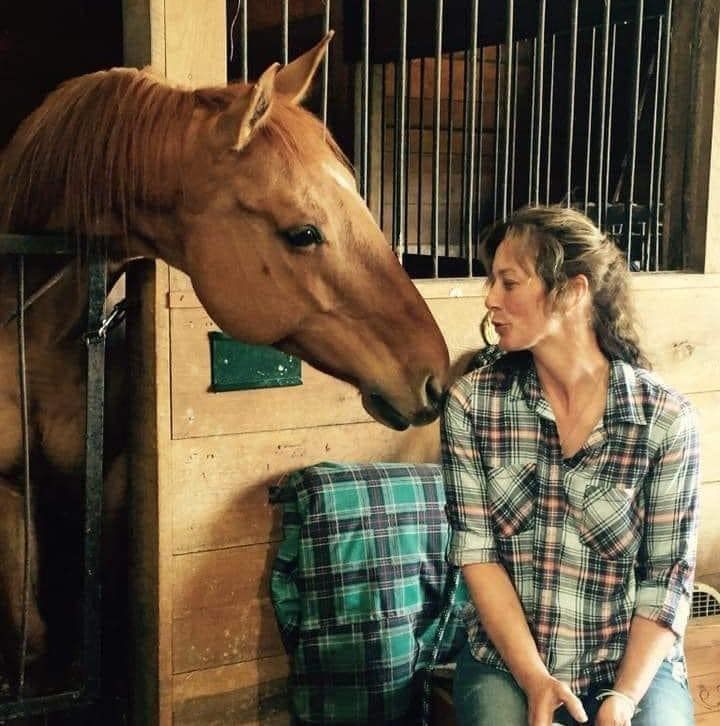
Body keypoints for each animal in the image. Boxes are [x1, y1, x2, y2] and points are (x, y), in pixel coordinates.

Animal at [0, 34, 449, 693]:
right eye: (303, 232)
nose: (436, 378)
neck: (37, 334)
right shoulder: (10, 487)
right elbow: (28, 635)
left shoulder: (112, 479)